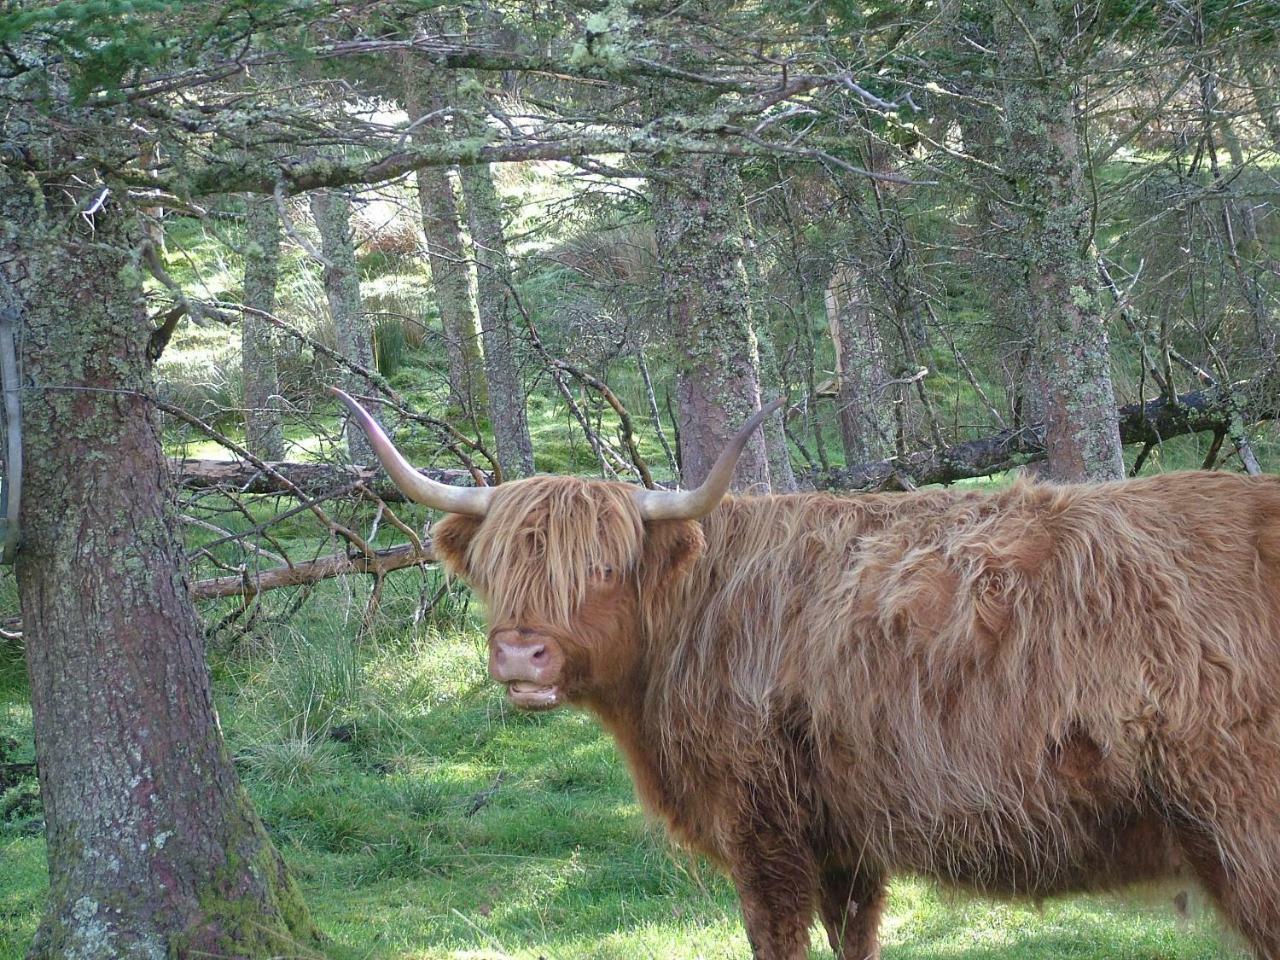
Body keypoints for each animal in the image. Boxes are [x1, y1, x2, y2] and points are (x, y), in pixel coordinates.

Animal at [335, 391, 1280, 960]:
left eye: (602, 567)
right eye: (496, 566)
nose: (520, 655)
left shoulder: (766, 834)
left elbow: (779, 940)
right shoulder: (846, 842)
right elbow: (853, 939)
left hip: (1246, 840)